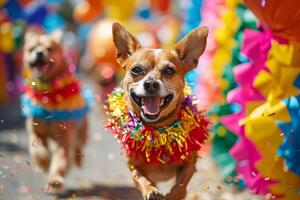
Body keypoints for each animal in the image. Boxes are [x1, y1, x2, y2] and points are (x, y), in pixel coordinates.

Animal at [22, 28, 89, 192]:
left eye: (49, 48)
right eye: (31, 48)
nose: (39, 52)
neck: (49, 94)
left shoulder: (64, 139)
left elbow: (61, 160)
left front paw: (56, 179)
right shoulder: (36, 133)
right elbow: (38, 150)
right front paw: (43, 162)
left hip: (81, 132)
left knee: (78, 147)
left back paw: (78, 159)